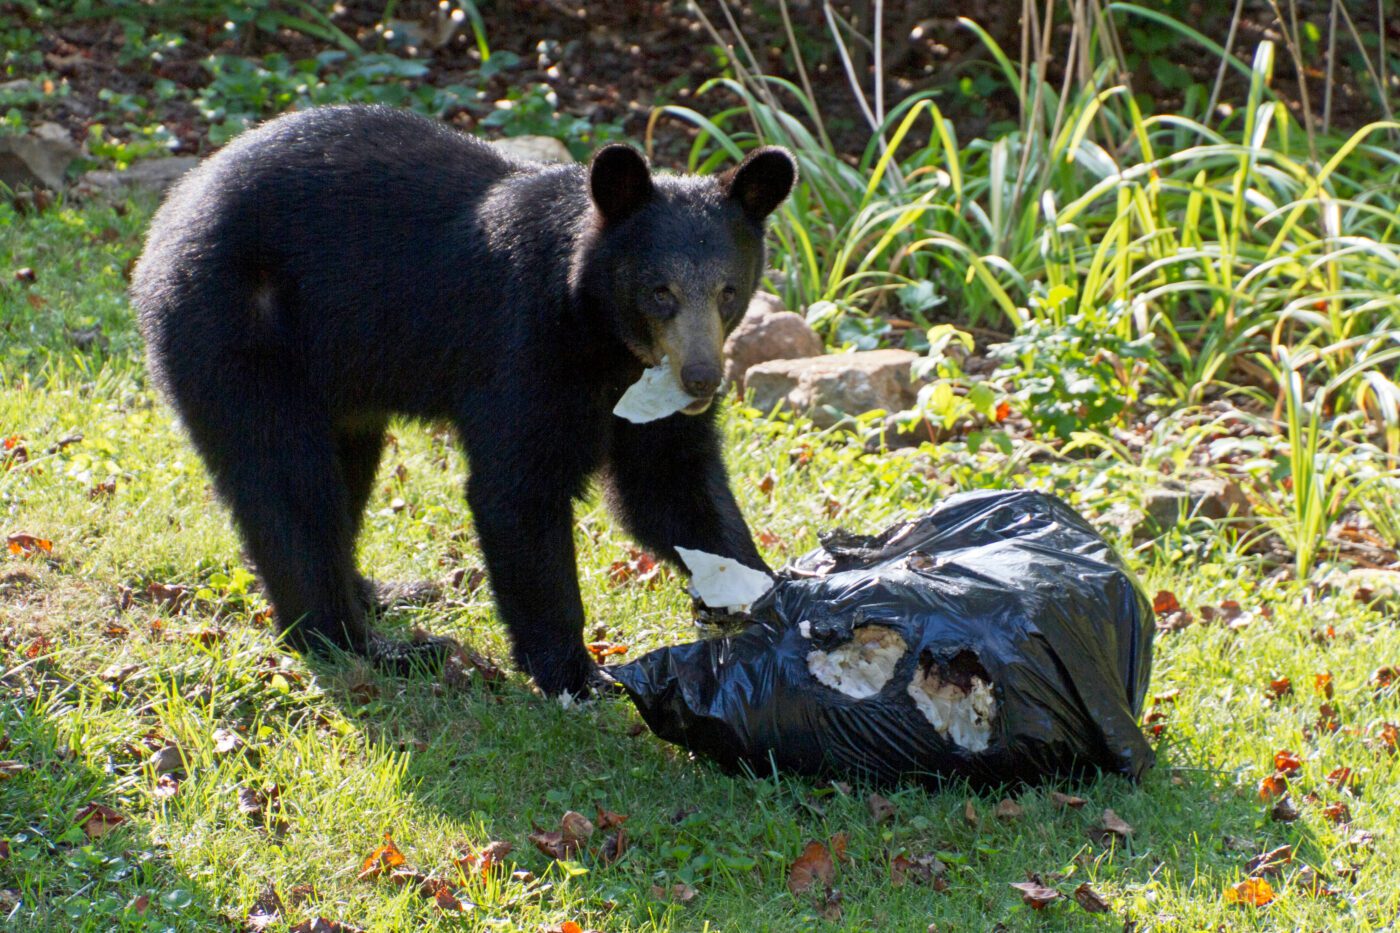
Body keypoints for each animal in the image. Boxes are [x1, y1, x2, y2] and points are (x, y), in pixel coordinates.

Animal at [131, 104, 797, 697]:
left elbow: (672, 488)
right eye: (660, 292)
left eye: (728, 291)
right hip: (239, 331)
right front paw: (578, 675)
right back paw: (366, 643)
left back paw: (378, 592)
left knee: (343, 471)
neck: (604, 339)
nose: (701, 380)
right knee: (287, 482)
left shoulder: (646, 400)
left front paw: (766, 598)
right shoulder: (524, 346)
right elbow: (516, 491)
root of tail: (168, 220)